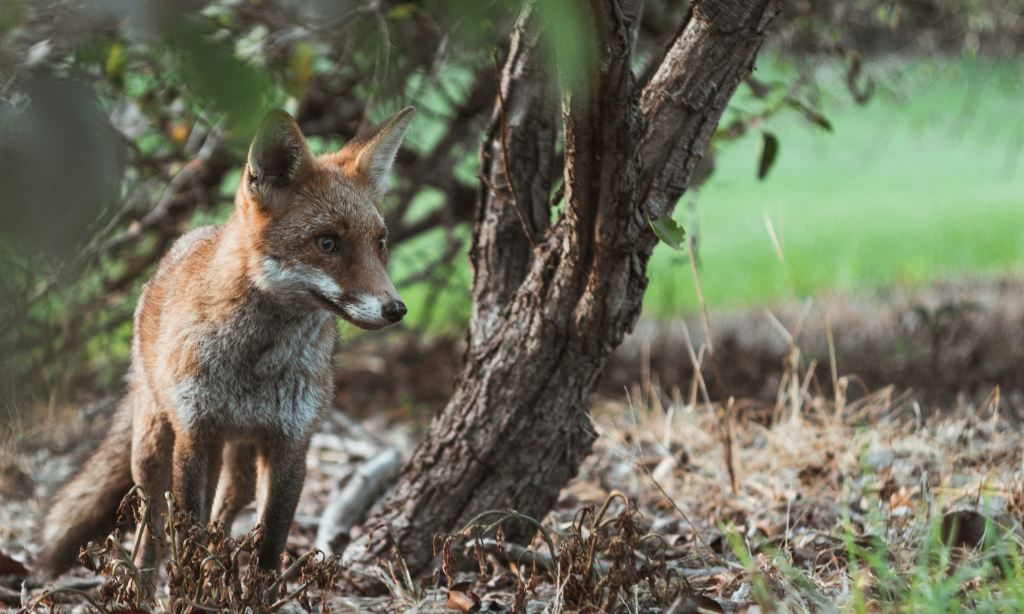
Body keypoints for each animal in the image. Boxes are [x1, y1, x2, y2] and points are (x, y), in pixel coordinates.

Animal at [36, 106, 415, 582]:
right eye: (327, 242)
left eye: (380, 243)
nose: (396, 309)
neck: (255, 363)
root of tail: (182, 241)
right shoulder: (195, 435)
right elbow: (186, 537)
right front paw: (186, 590)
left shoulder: (291, 443)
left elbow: (269, 543)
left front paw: (255, 590)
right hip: (154, 444)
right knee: (150, 523)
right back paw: (143, 584)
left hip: (240, 458)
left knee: (224, 512)